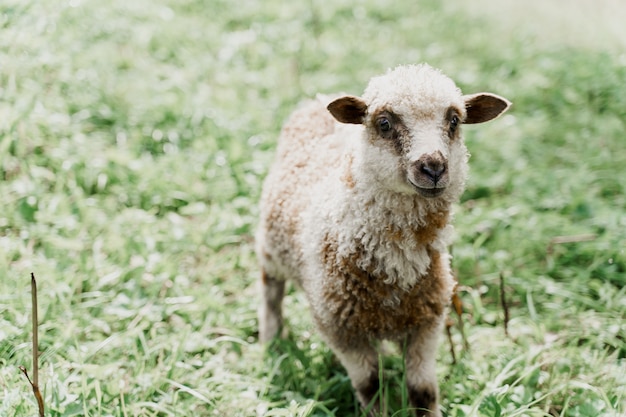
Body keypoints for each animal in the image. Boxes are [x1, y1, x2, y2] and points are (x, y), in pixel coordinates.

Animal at [256, 63, 510, 414]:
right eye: (384, 123)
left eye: (454, 121)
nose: (433, 167)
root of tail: (316, 100)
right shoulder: (340, 328)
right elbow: (371, 386)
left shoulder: (426, 323)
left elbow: (423, 390)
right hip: (270, 246)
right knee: (271, 291)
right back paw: (272, 339)